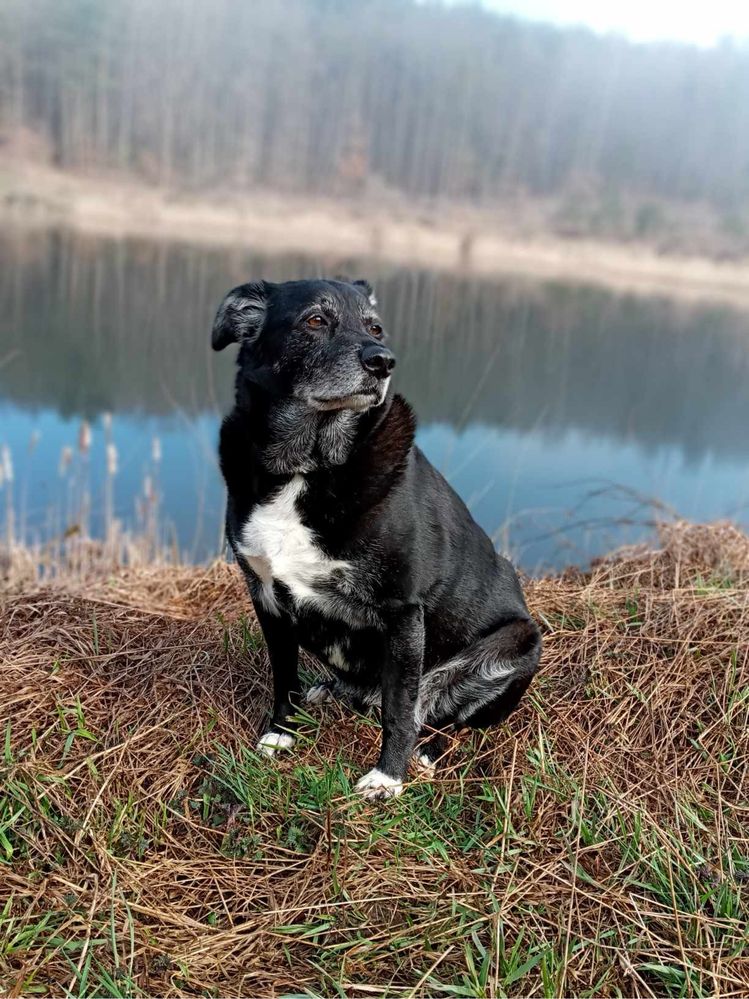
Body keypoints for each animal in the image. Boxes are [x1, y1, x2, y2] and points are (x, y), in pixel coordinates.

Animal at [213, 278, 540, 800]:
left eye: (376, 329)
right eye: (315, 320)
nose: (383, 361)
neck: (308, 466)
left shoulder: (402, 613)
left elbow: (400, 710)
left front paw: (388, 777)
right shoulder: (265, 596)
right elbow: (283, 677)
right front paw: (280, 734)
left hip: (518, 646)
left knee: (445, 718)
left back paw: (427, 752)